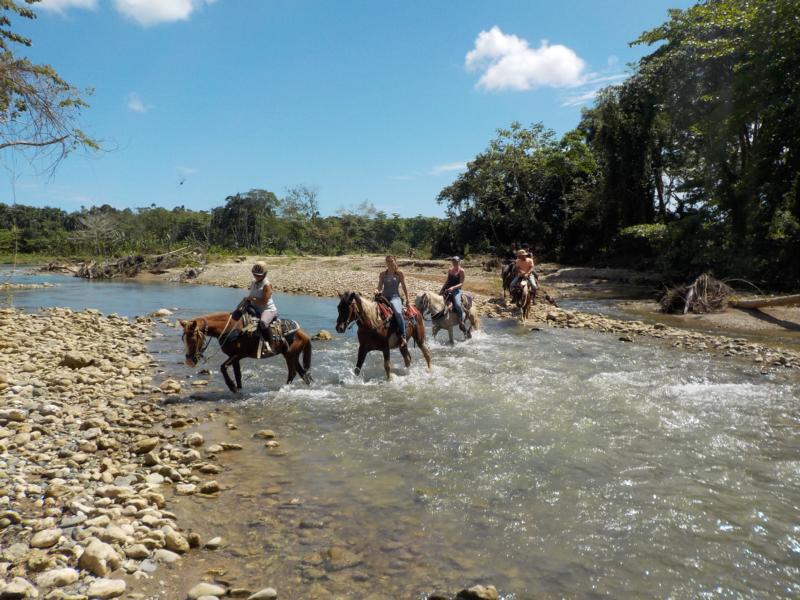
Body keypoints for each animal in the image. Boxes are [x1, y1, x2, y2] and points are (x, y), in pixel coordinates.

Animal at [179, 311, 312, 393]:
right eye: (183, 339)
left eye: (192, 338)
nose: (189, 361)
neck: (230, 329)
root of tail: (303, 333)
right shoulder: (234, 357)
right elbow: (238, 375)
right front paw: (238, 389)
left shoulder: (238, 355)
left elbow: (223, 367)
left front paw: (232, 387)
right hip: (292, 356)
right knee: (302, 374)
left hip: (290, 356)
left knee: (292, 373)